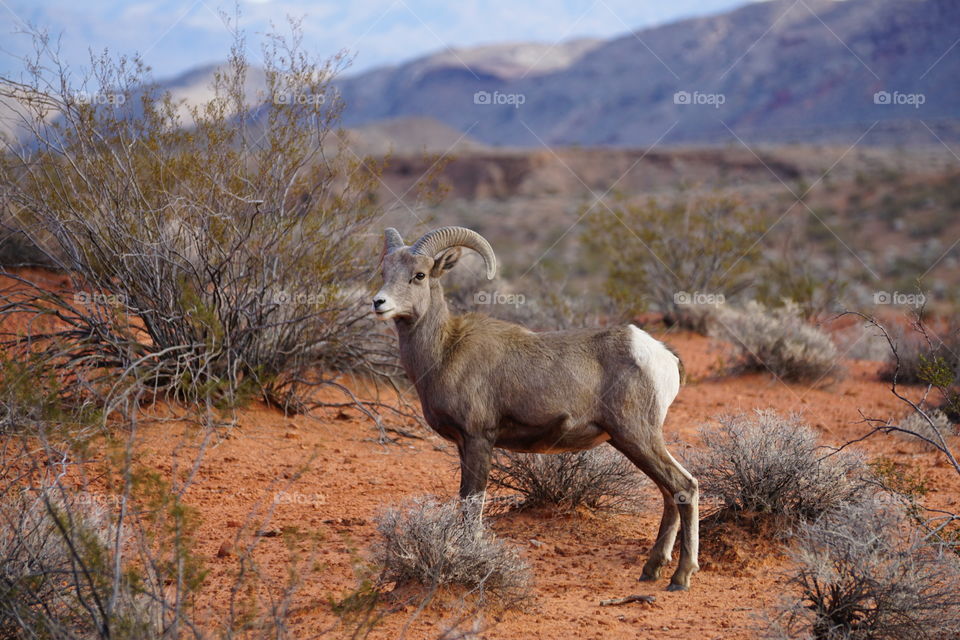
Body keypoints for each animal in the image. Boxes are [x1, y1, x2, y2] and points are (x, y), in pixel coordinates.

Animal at [374, 225, 696, 592]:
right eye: (384, 272)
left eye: (419, 275)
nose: (379, 303)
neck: (444, 351)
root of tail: (662, 354)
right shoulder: (463, 445)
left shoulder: (479, 440)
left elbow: (472, 505)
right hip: (634, 441)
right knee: (670, 493)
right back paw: (651, 569)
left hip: (636, 436)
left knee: (684, 487)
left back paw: (680, 578)